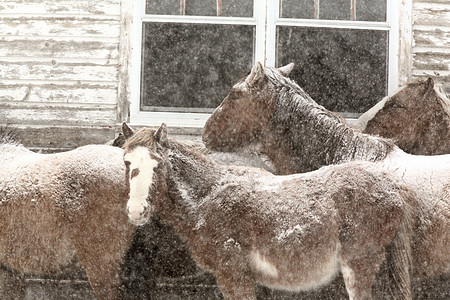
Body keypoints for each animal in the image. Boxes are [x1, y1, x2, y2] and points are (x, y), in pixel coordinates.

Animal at [122, 122, 418, 300]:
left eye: (158, 164)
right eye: (126, 162)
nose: (137, 211)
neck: (209, 195)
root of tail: (391, 186)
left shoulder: (234, 274)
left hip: (359, 266)